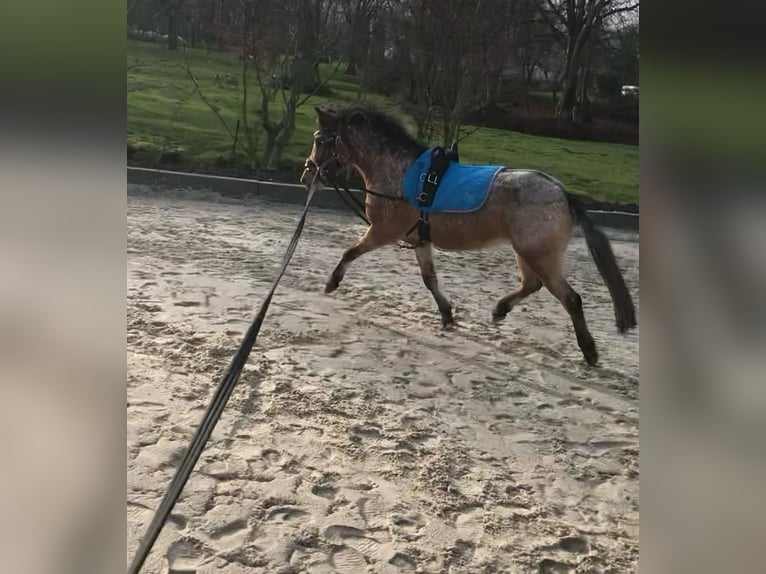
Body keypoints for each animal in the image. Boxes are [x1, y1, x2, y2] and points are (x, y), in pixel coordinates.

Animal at [300, 104, 636, 366]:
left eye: (319, 139)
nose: (306, 175)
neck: (398, 172)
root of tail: (563, 194)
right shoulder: (419, 240)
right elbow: (429, 279)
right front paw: (447, 314)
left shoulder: (383, 230)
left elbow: (350, 252)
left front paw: (332, 283)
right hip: (527, 253)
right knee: (532, 284)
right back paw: (500, 310)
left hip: (538, 254)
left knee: (569, 298)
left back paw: (589, 351)